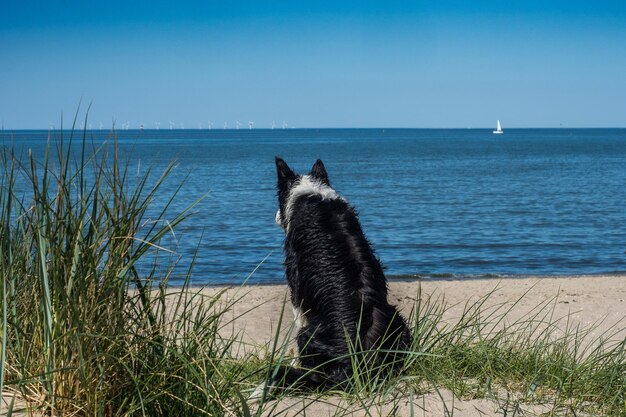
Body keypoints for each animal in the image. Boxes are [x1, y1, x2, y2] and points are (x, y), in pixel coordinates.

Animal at [249, 158, 410, 398]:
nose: (275, 216)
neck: (310, 192)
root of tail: (353, 366)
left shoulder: (296, 286)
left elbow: (297, 316)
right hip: (398, 321)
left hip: (307, 334)